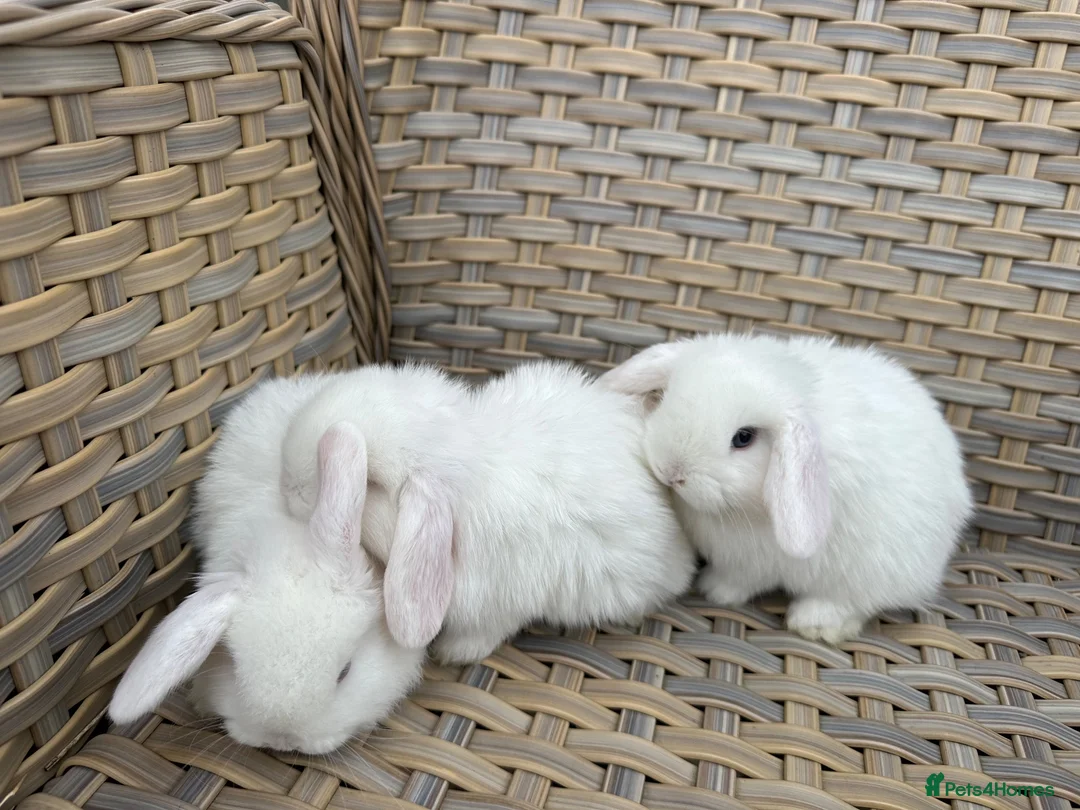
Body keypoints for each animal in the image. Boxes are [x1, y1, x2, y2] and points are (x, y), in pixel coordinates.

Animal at [599, 333, 974, 644]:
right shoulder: (742, 562)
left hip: (877, 569)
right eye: (665, 399)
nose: (672, 472)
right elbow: (736, 579)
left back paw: (816, 625)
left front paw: (715, 593)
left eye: (744, 437)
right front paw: (716, 591)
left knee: (853, 600)